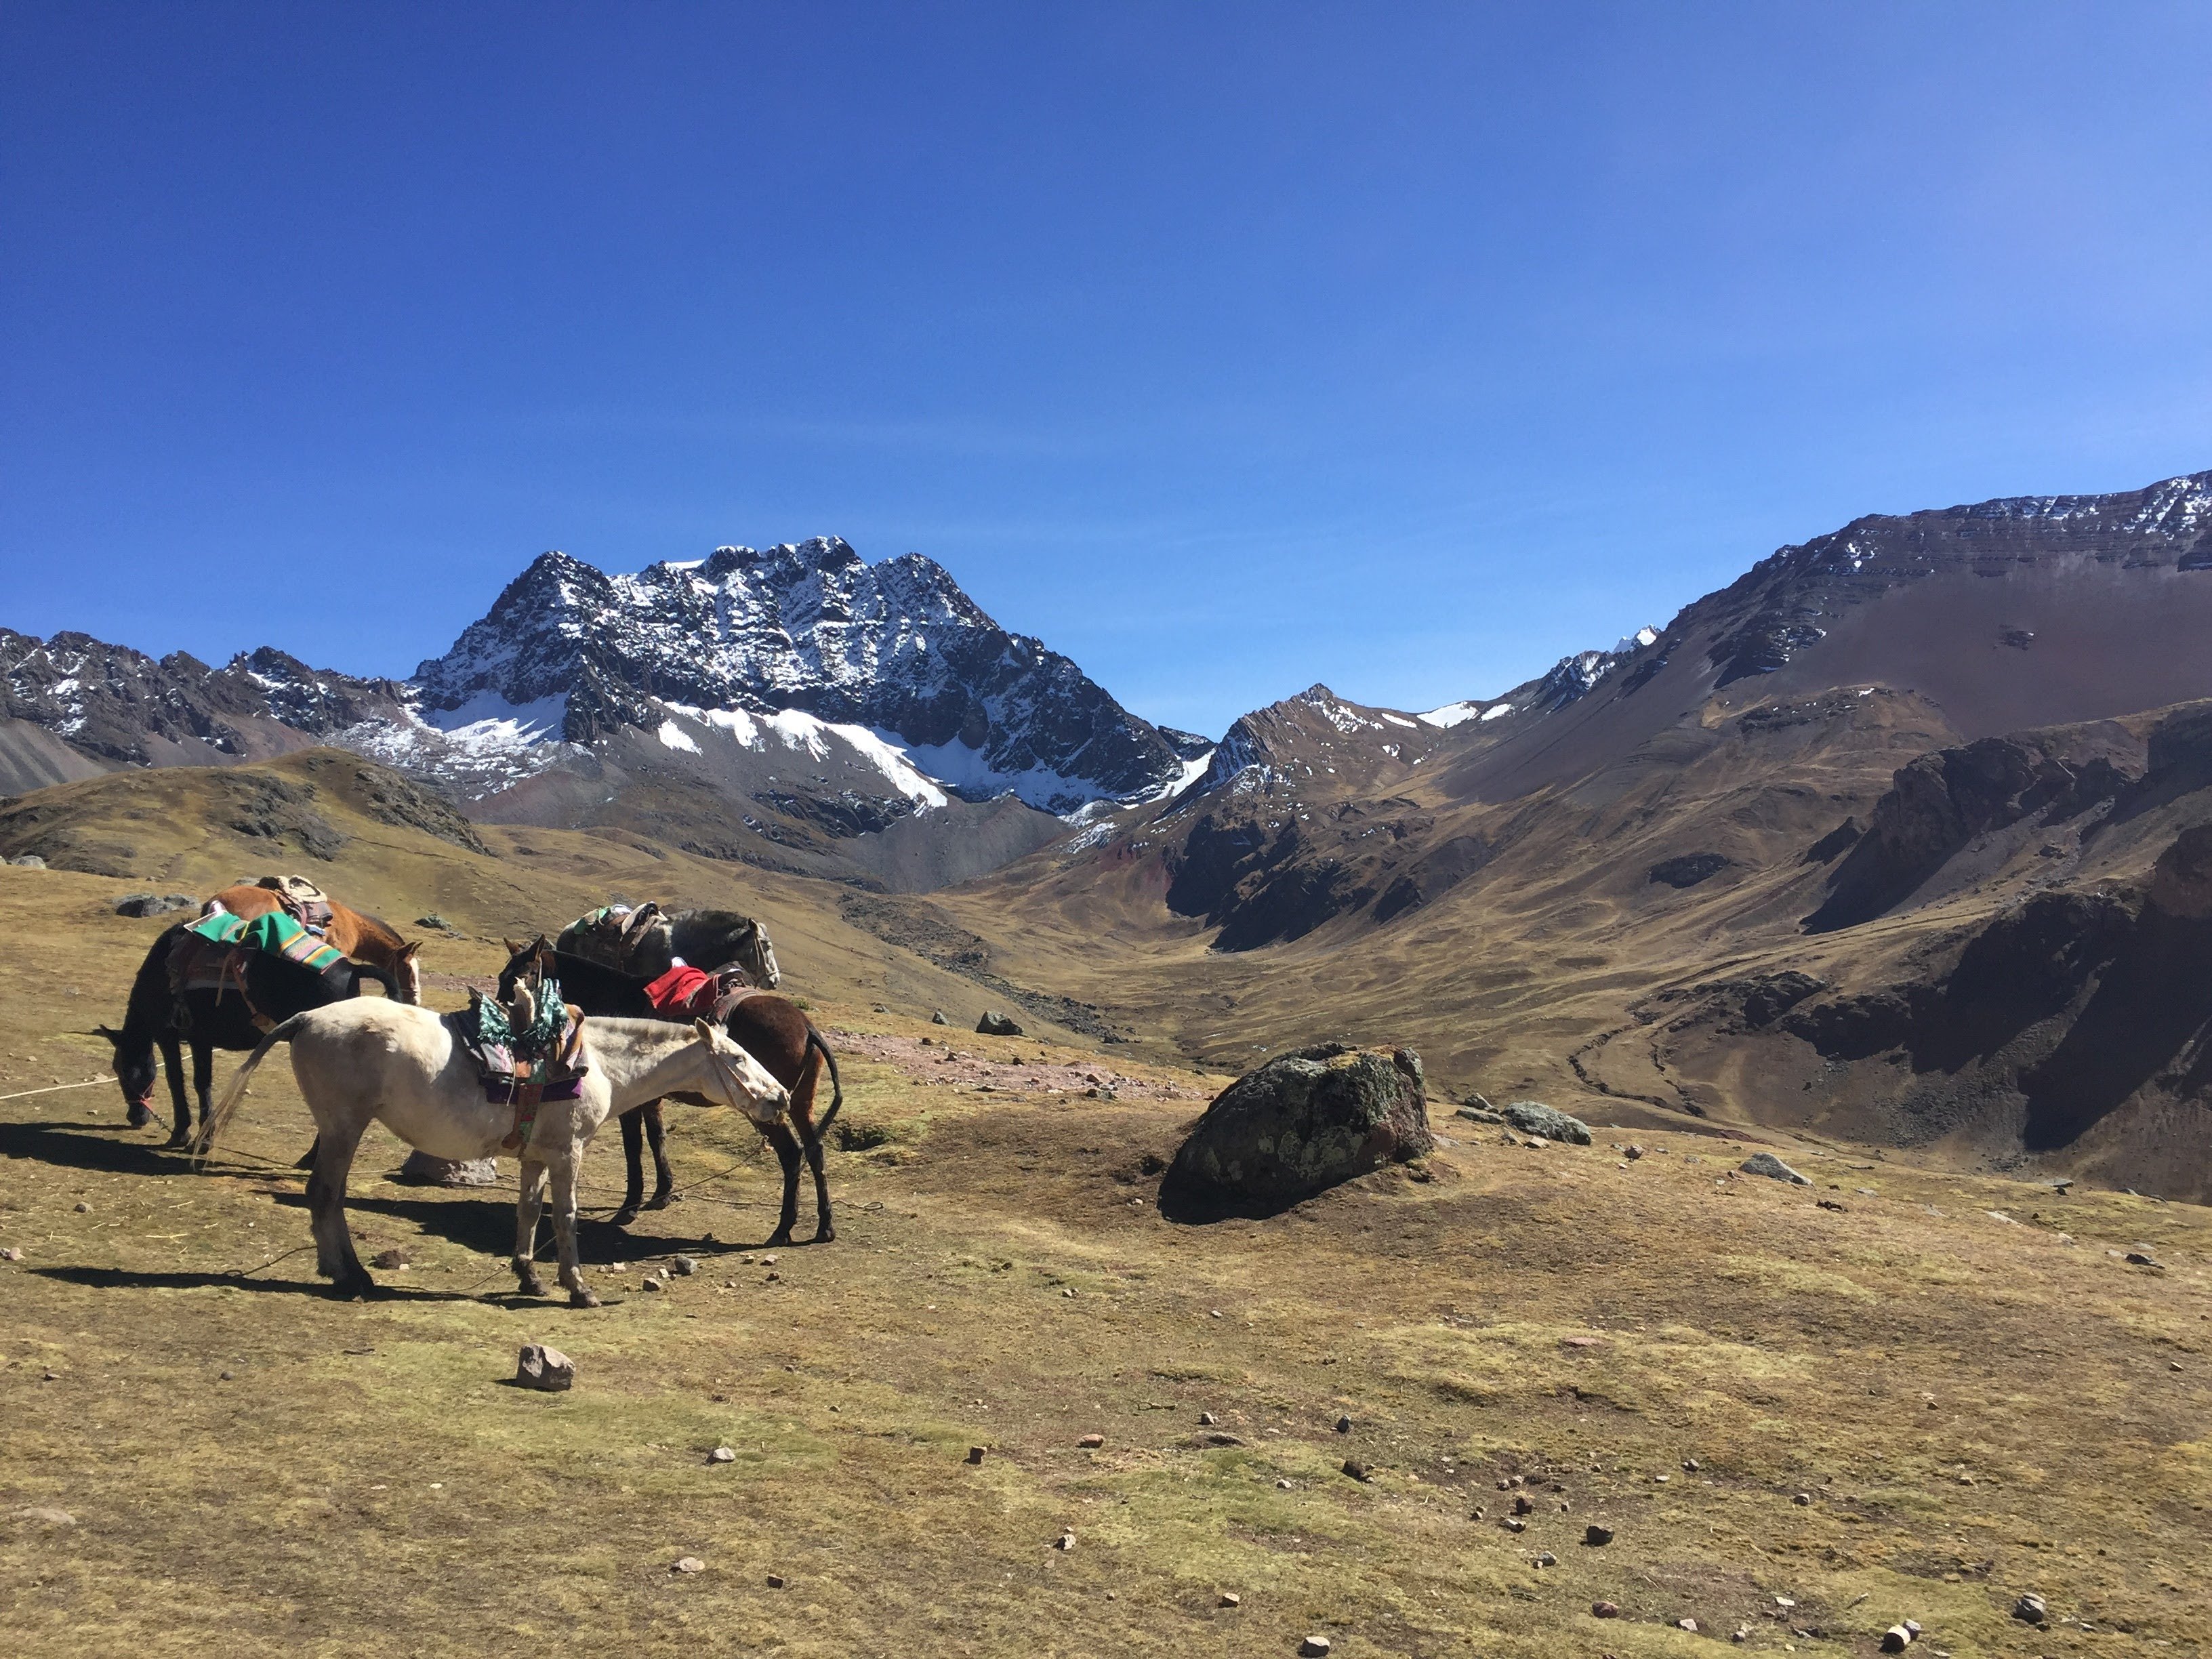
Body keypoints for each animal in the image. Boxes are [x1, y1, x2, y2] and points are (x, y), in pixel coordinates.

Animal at [98, 928, 403, 1150]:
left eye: (122, 1070)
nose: (135, 1118)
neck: (160, 972)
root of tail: (352, 969)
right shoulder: (199, 1040)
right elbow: (202, 1083)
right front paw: (204, 1138)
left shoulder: (168, 1036)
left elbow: (177, 1081)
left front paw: (181, 1134)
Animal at [199, 1000, 787, 1309]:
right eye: (737, 1058)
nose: (780, 1098)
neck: (597, 1063)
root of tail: (306, 1018)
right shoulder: (568, 1152)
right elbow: (566, 1217)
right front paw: (578, 1288)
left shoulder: (534, 1156)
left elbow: (528, 1211)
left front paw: (528, 1276)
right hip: (343, 1126)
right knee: (325, 1193)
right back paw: (351, 1277)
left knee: (327, 1196)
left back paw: (340, 1269)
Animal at [497, 937, 840, 1247]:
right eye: (503, 977)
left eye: (525, 976)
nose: (506, 1020)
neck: (615, 998)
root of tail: (807, 1027)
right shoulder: (651, 1098)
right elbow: (656, 1137)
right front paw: (662, 1193)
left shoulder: (632, 1103)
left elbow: (633, 1147)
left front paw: (630, 1207)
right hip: (800, 1104)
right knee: (815, 1151)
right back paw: (824, 1225)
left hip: (766, 1109)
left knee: (792, 1153)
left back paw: (783, 1229)